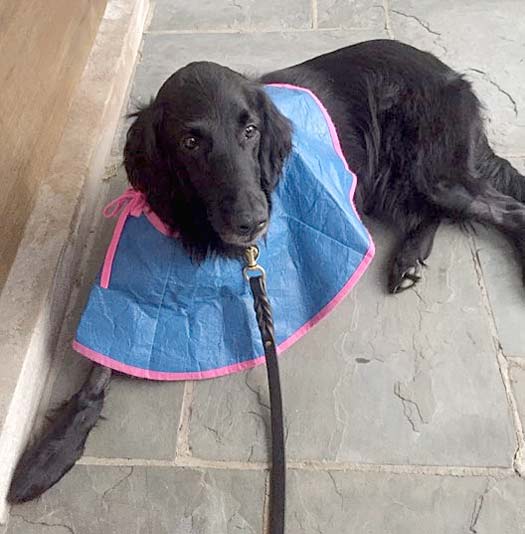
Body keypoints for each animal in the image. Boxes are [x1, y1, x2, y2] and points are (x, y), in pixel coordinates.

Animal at [9, 39, 524, 504]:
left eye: (250, 130)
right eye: (190, 141)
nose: (253, 220)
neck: (203, 231)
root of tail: (445, 71)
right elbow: (99, 368)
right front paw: (48, 454)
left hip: (430, 172)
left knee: (507, 210)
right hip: (393, 183)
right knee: (435, 212)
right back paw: (410, 257)